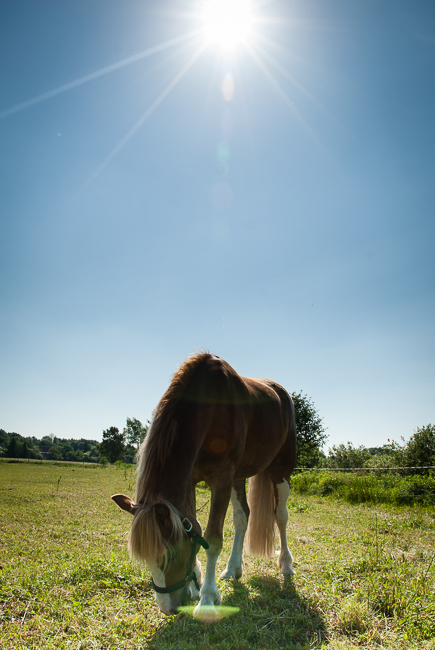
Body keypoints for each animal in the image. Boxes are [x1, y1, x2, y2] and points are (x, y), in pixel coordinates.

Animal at [111, 352, 300, 616]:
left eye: (170, 555)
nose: (168, 608)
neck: (209, 408)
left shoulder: (221, 480)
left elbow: (212, 539)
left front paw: (207, 598)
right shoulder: (191, 479)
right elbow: (195, 526)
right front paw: (196, 584)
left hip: (281, 471)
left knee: (281, 516)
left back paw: (286, 564)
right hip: (239, 477)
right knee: (242, 517)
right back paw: (233, 568)